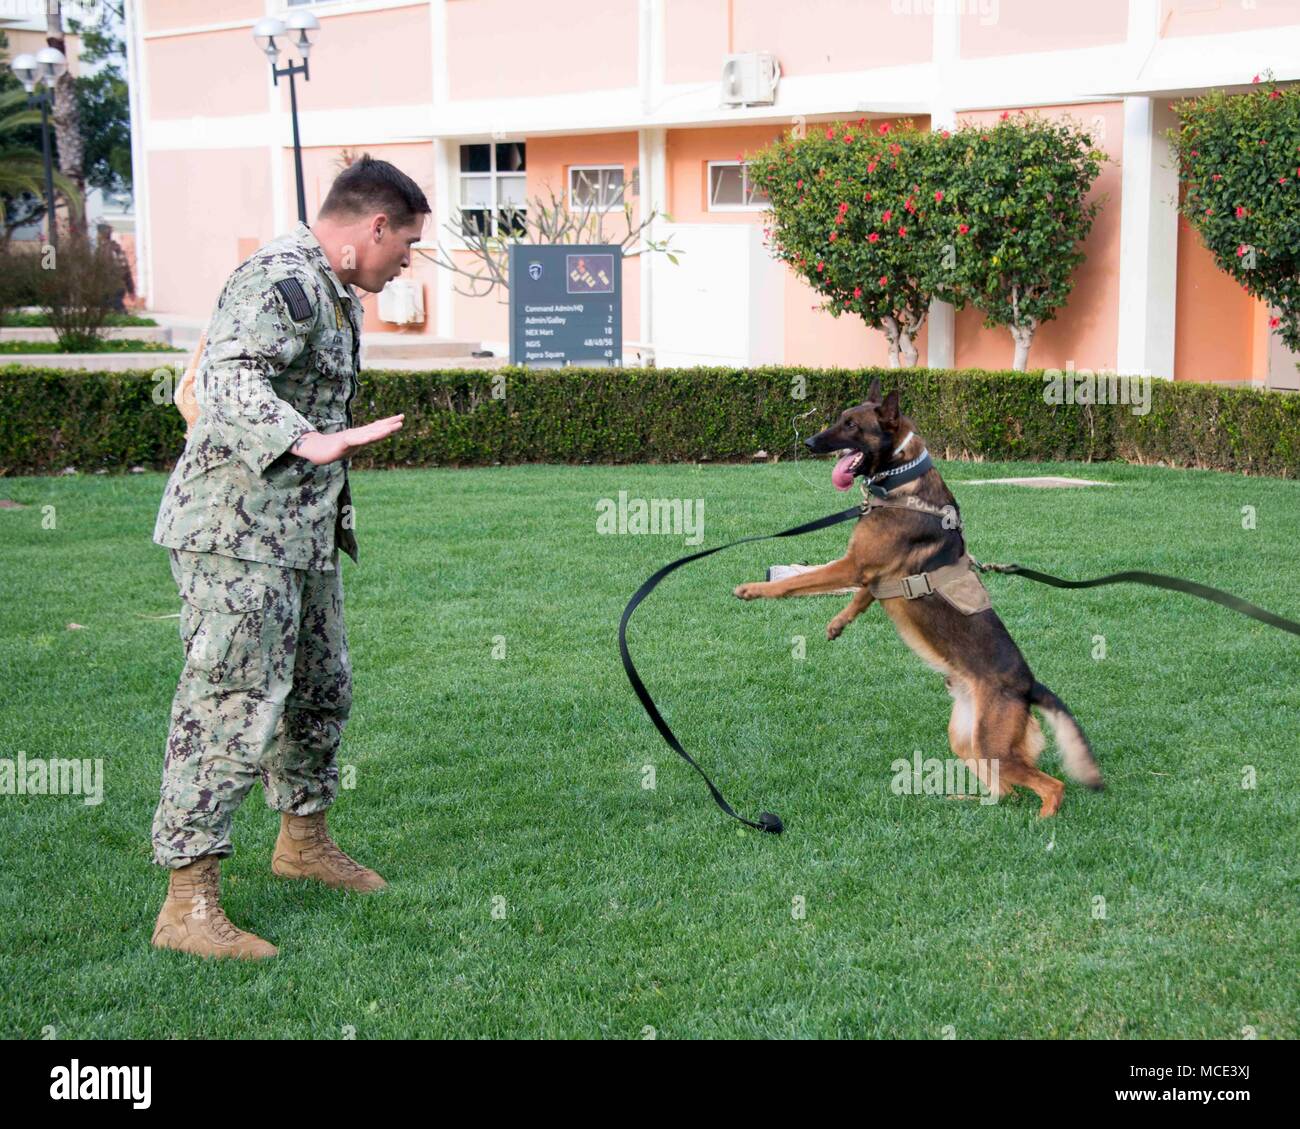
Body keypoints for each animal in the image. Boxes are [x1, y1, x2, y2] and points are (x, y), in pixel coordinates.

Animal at [733, 374, 1097, 816]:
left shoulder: (852, 565)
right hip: (968, 739)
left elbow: (797, 582)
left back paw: (1042, 821)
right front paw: (838, 623)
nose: (809, 443)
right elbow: (863, 595)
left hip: (994, 744)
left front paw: (755, 589)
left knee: (1050, 786)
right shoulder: (871, 574)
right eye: (840, 418)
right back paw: (968, 802)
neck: (901, 479)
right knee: (1004, 789)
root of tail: (1029, 685)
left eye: (851, 425)